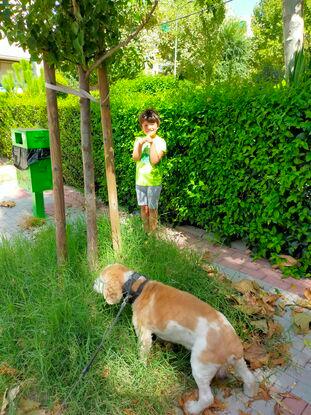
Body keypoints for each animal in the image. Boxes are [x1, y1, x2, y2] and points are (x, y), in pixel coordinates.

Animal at [93, 264, 258, 414]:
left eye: (100, 280)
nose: (92, 284)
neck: (138, 286)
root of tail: (233, 344)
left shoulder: (144, 332)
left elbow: (142, 352)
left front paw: (140, 366)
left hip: (200, 366)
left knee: (207, 398)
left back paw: (192, 409)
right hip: (238, 363)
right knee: (249, 378)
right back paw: (249, 392)